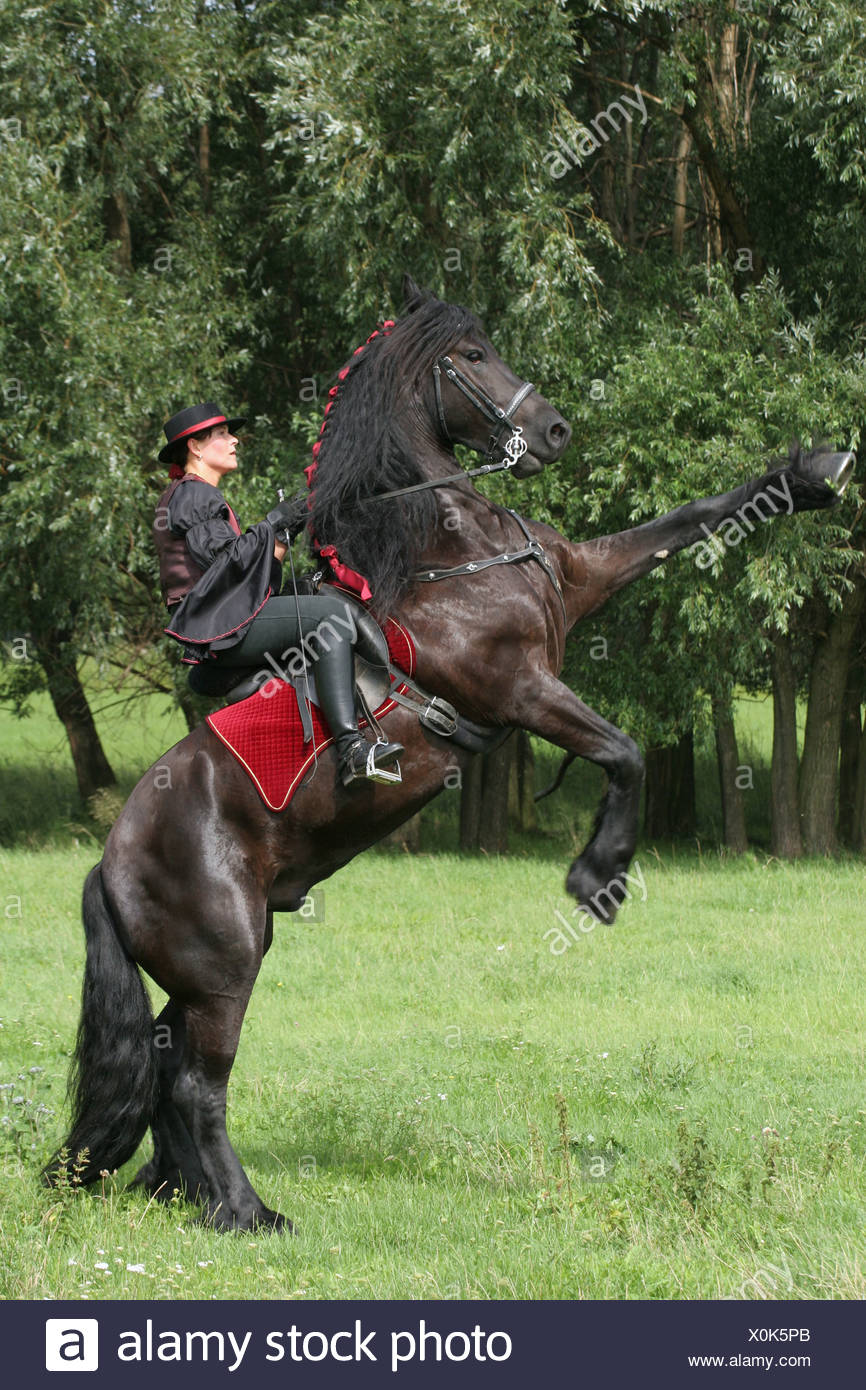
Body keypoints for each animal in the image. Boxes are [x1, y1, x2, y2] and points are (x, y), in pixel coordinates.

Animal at [44, 275, 854, 1231]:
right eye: (470, 356)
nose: (553, 431)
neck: (451, 545)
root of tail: (110, 859)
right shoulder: (519, 689)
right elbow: (624, 753)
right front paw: (600, 878)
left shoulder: (582, 580)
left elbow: (688, 519)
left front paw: (813, 472)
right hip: (223, 967)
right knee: (198, 1086)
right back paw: (249, 1214)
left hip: (208, 966)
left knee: (170, 1075)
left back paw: (187, 1194)